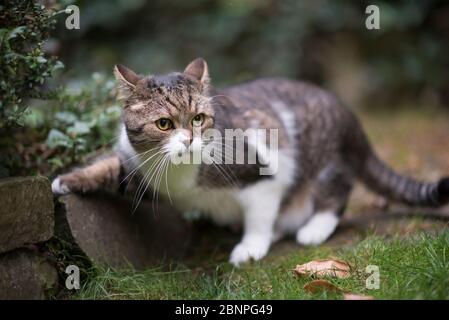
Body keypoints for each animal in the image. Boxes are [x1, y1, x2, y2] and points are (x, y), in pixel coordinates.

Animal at [53, 57, 448, 264]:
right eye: (164, 124)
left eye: (198, 118)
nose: (190, 139)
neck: (180, 175)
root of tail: (351, 117)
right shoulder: (141, 169)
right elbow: (108, 168)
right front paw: (66, 181)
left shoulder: (264, 169)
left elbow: (259, 213)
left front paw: (251, 246)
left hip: (326, 163)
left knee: (335, 192)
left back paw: (312, 228)